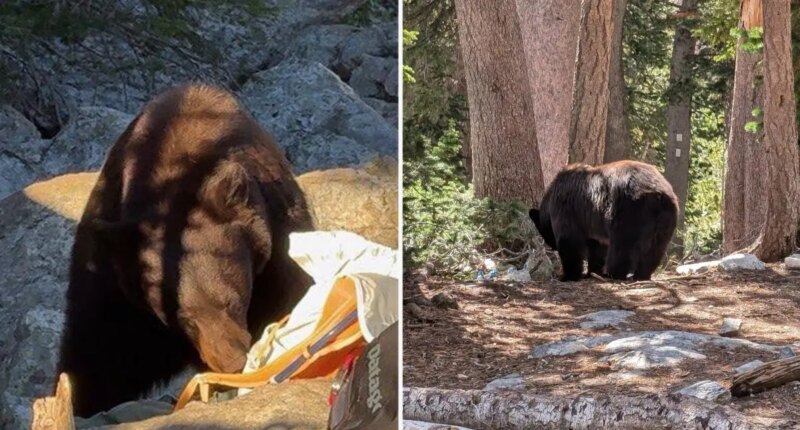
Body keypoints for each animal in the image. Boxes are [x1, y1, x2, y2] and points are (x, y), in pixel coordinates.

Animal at [57, 84, 315, 417]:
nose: (231, 362)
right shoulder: (117, 277)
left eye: (232, 301)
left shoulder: (277, 238)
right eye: (186, 319)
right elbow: (100, 346)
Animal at [529, 160, 678, 282]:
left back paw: (614, 273)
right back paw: (642, 274)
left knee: (622, 245)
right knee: (655, 248)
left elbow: (569, 241)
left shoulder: (566, 209)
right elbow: (597, 247)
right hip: (666, 218)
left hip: (628, 210)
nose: (552, 247)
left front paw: (568, 275)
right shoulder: (593, 225)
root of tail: (658, 193)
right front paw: (592, 272)